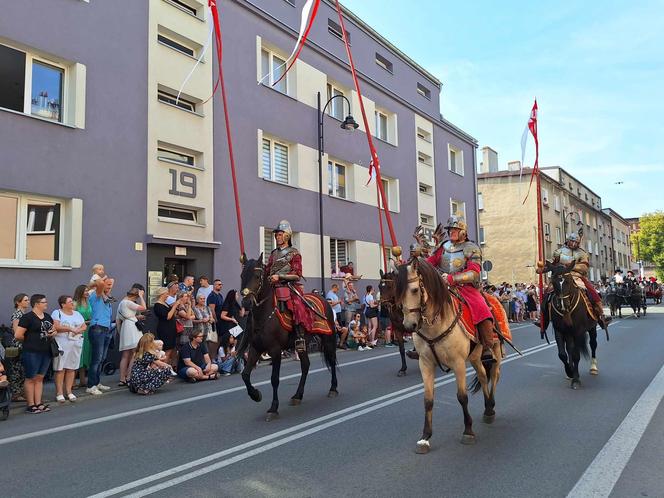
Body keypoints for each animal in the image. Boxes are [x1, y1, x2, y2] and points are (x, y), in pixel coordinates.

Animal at [237, 253, 338, 420]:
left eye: (257, 276)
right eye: (242, 275)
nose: (246, 302)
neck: (264, 315)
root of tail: (323, 299)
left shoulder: (275, 350)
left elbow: (274, 379)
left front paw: (273, 408)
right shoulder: (255, 349)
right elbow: (245, 375)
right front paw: (256, 395)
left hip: (328, 339)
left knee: (332, 361)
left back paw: (333, 388)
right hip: (302, 344)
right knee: (306, 365)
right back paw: (298, 396)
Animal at [394, 258, 504, 454]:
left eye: (414, 290)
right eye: (397, 293)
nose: (408, 325)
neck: (435, 324)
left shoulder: (458, 363)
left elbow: (462, 397)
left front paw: (468, 431)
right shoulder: (425, 364)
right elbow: (428, 400)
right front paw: (425, 437)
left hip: (495, 352)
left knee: (494, 374)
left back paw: (491, 406)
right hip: (475, 357)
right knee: (483, 376)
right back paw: (488, 409)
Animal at [544, 260, 596, 390]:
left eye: (568, 280)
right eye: (553, 281)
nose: (563, 304)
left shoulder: (578, 331)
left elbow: (576, 355)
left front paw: (576, 379)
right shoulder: (559, 330)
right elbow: (562, 354)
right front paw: (570, 372)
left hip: (592, 328)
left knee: (593, 344)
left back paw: (593, 368)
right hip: (568, 333)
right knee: (569, 349)